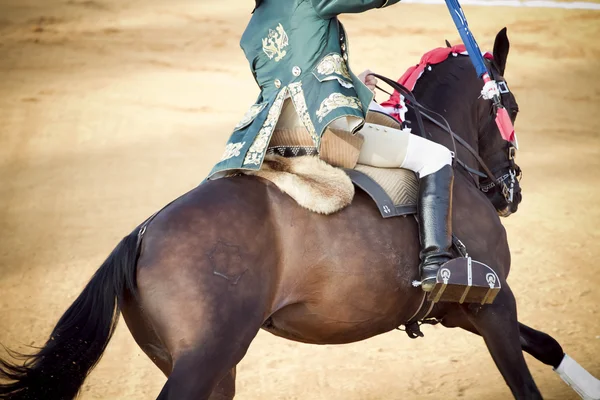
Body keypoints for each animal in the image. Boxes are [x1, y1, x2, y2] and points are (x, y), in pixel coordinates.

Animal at [0, 28, 596, 400]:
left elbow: (545, 342)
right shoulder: (495, 301)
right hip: (202, 361)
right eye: (511, 107)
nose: (510, 193)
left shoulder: (461, 309)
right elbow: (526, 381)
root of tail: (142, 233)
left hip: (208, 368)